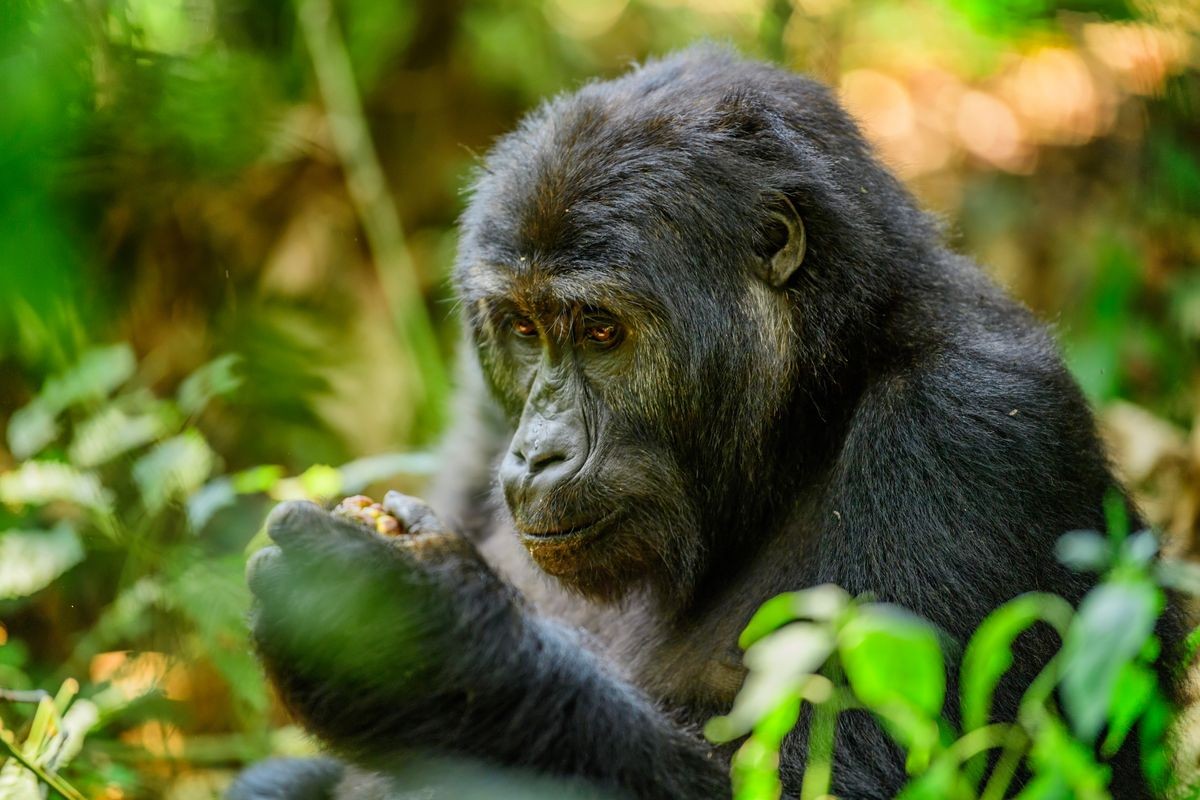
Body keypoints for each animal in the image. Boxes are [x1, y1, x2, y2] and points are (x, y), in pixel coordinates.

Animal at [231, 45, 1180, 800]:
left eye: (601, 331)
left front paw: (427, 644)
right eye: (525, 329)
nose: (538, 452)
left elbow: (855, 778)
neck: (814, 402)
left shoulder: (973, 428)